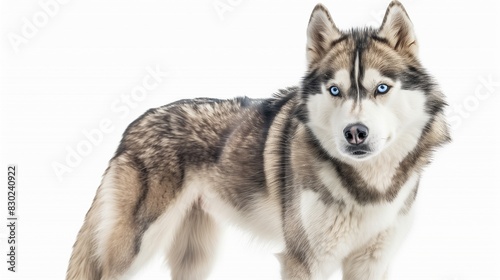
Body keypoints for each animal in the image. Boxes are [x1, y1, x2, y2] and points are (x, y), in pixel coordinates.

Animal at [65, 1, 450, 278]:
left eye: (381, 88)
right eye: (334, 90)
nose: (355, 132)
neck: (367, 188)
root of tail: (135, 122)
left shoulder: (372, 262)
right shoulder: (304, 260)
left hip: (197, 258)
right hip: (134, 248)